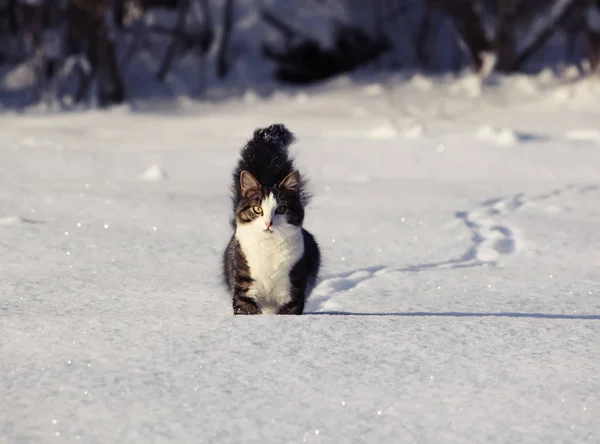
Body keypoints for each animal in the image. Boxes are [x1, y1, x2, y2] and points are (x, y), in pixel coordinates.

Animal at [223, 123, 322, 314]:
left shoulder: (293, 291)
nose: (268, 223)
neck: (268, 248)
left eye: (281, 209)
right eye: (257, 209)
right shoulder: (244, 288)